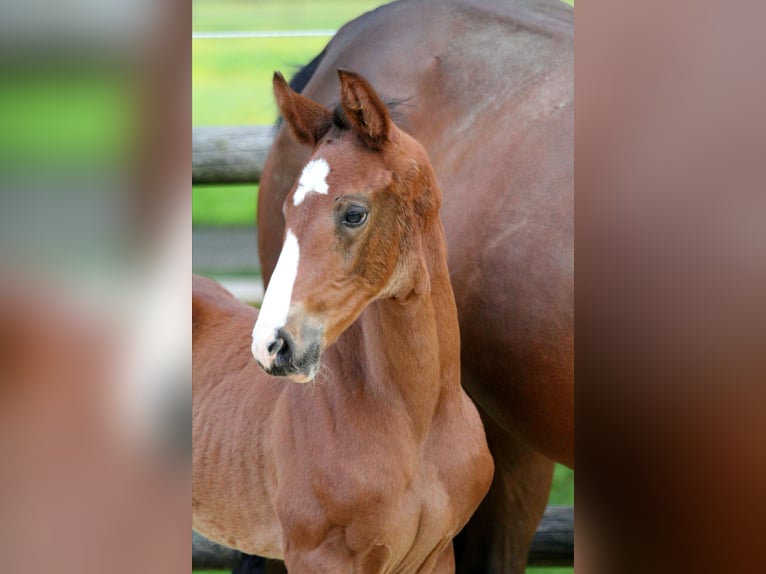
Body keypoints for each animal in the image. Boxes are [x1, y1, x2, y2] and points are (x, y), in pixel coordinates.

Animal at [189, 70, 496, 572]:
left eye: (354, 213)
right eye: (286, 211)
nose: (271, 345)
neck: (416, 424)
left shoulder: (435, 555)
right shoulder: (319, 556)